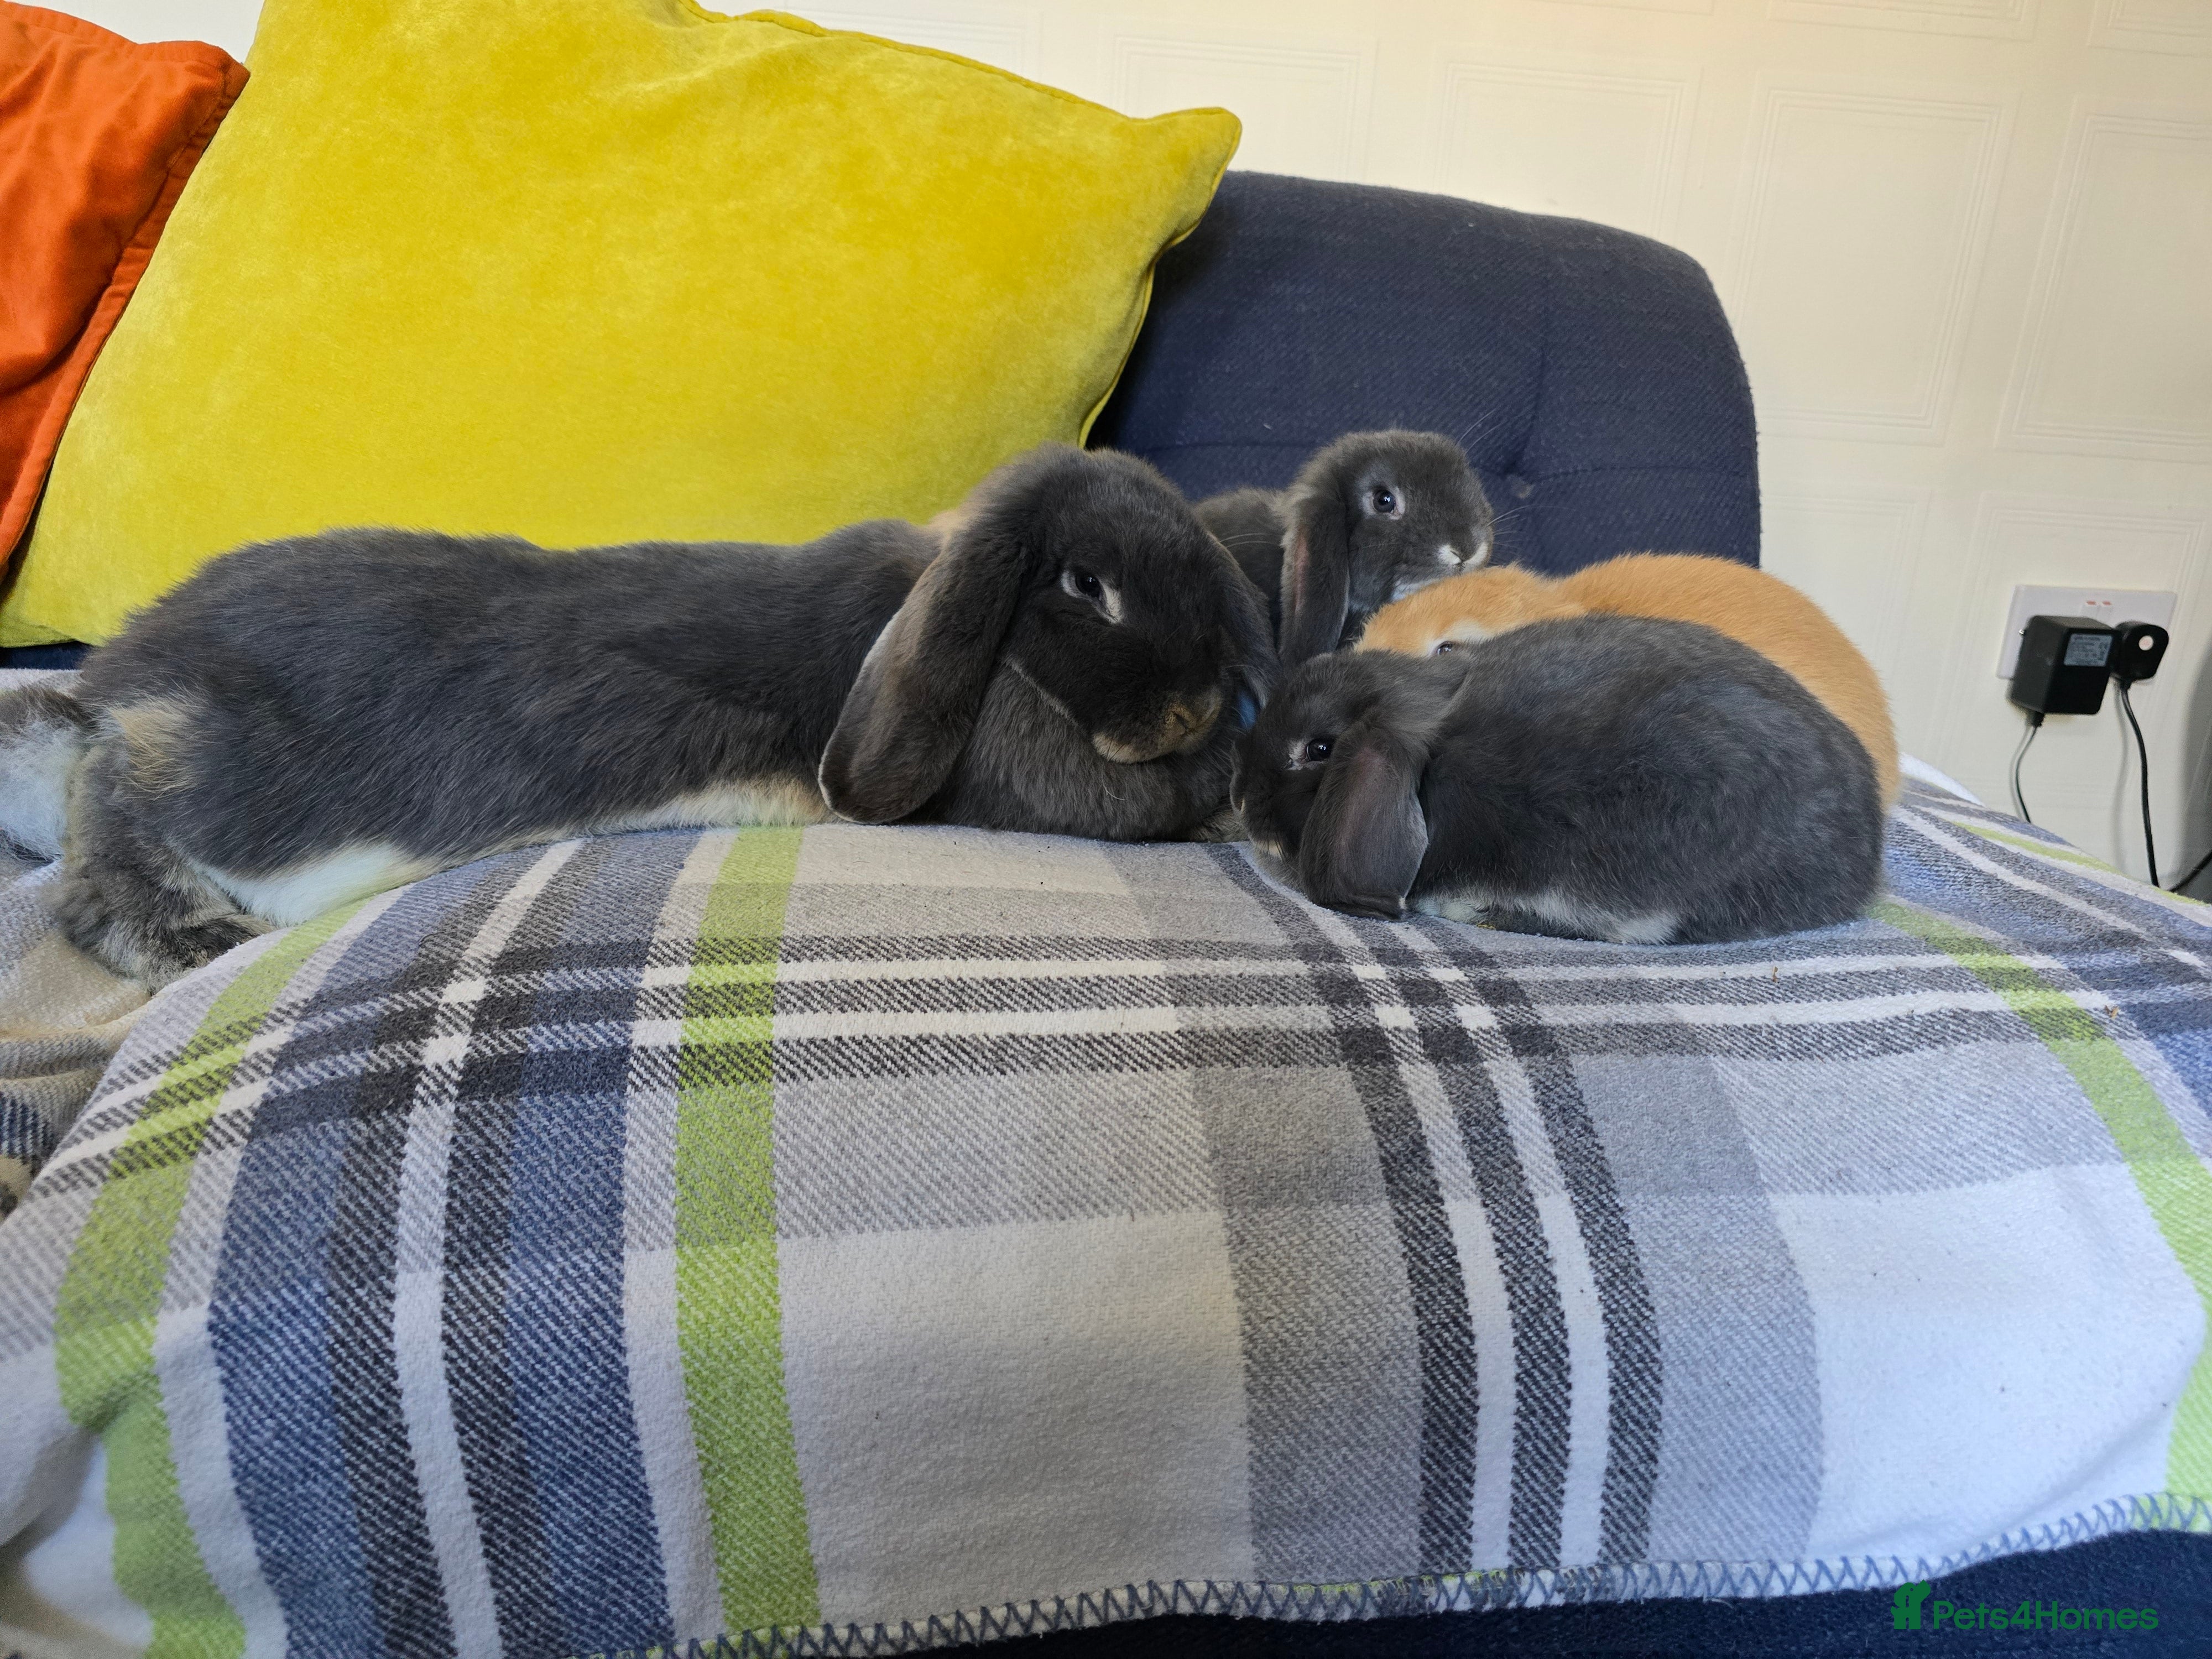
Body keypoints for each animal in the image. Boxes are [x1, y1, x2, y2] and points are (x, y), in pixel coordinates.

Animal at [9, 442, 1275, 984]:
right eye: (1084, 585)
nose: (1191, 706)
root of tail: (116, 672)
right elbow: (1136, 803)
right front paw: (1219, 787)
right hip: (220, 773)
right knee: (108, 812)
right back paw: (189, 935)